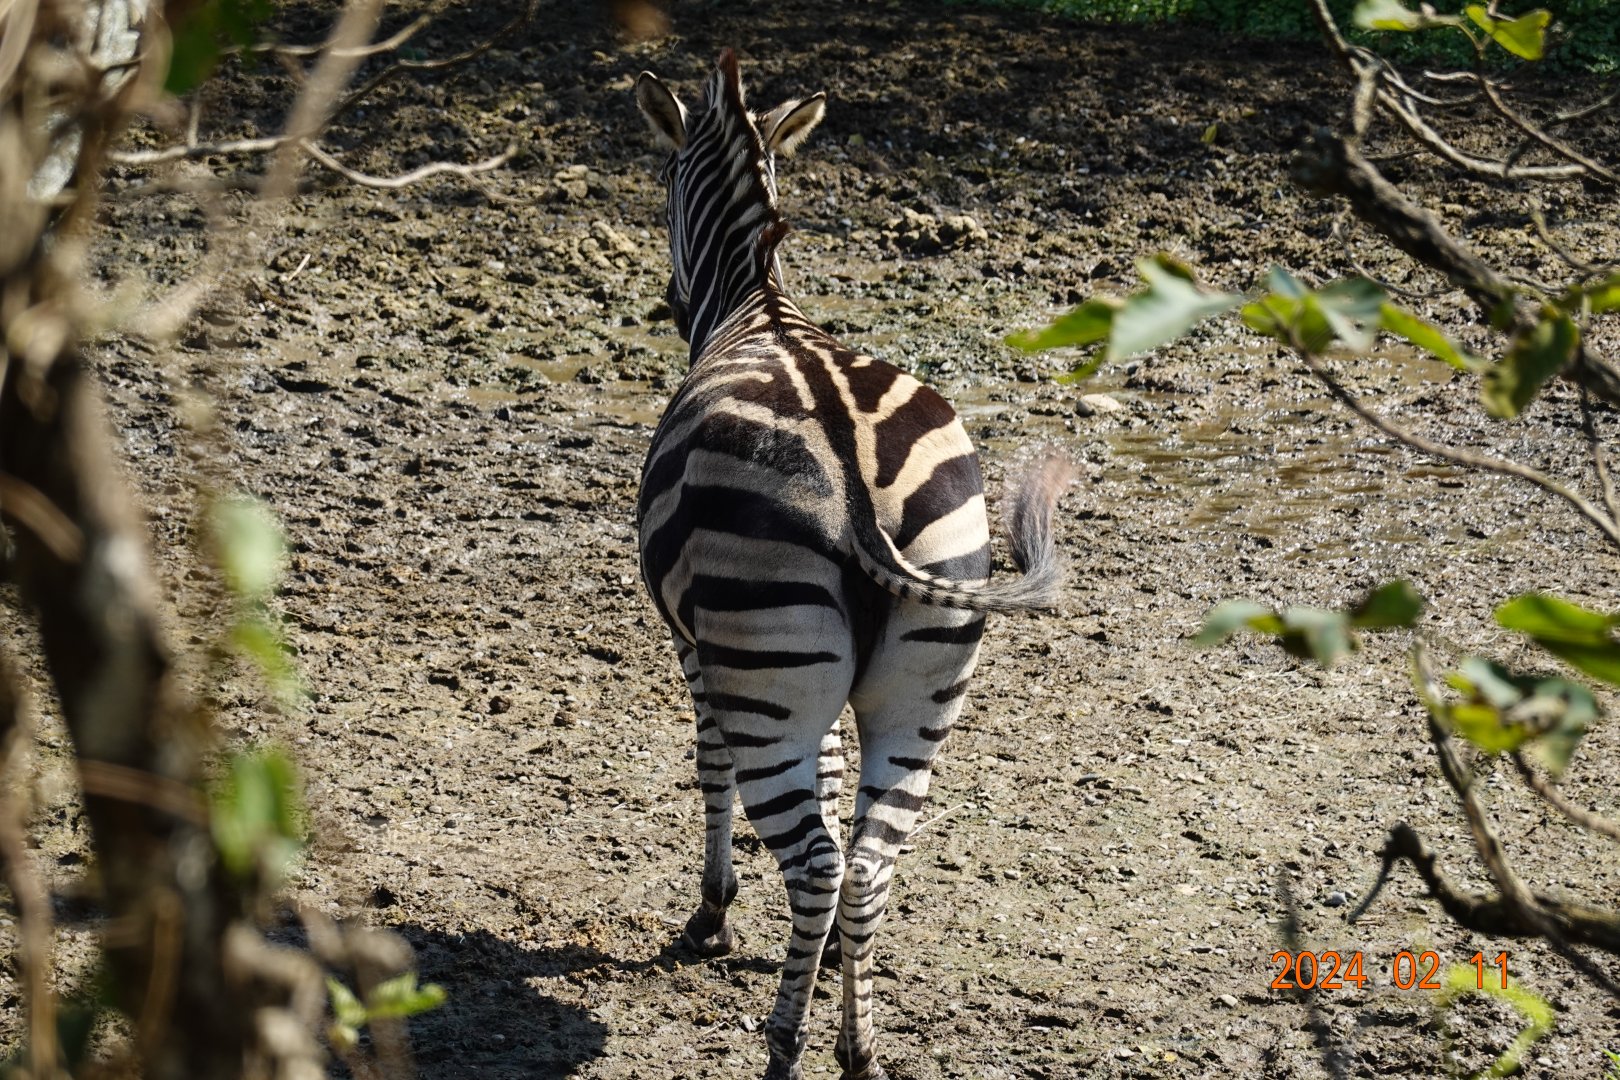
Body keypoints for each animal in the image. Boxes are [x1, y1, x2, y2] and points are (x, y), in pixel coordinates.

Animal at [634, 49, 1072, 1080]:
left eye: (661, 183)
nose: (667, 305)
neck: (758, 303)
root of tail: (852, 469)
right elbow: (835, 778)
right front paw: (833, 948)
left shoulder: (698, 649)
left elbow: (707, 766)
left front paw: (711, 916)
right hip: (920, 677)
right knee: (867, 861)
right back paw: (859, 1043)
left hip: (763, 669)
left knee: (820, 860)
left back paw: (786, 1045)